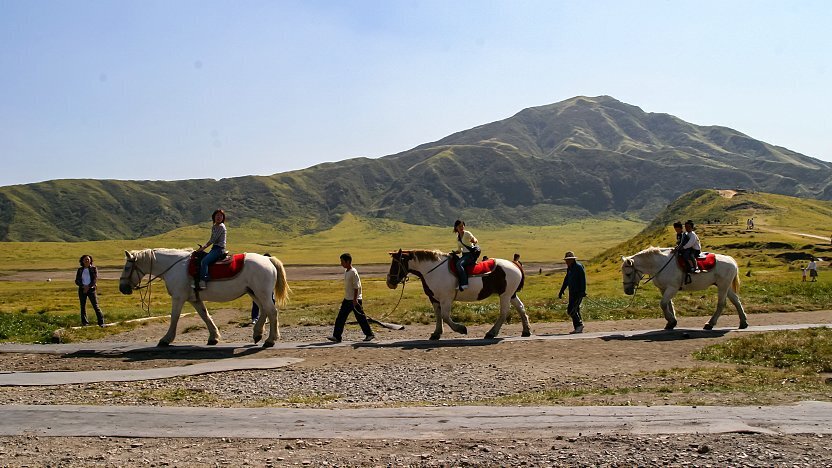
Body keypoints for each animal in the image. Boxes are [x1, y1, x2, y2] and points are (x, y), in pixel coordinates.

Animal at [118, 250, 290, 346]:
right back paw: (258, 334)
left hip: (262, 293)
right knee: (264, 310)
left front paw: (165, 339)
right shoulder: (194, 299)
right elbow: (205, 315)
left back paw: (270, 340)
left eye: (126, 267)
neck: (174, 267)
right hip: (254, 292)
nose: (122, 288)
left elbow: (174, 317)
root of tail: (267, 259)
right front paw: (214, 337)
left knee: (271, 312)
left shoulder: (179, 297)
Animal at [386, 249, 528, 340]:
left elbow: (445, 316)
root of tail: (514, 264)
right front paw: (436, 334)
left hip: (505, 295)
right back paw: (526, 331)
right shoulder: (434, 299)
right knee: (521, 308)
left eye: (396, 263)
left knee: (504, 313)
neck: (433, 270)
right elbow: (438, 316)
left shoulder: (446, 299)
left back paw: (491, 333)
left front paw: (461, 329)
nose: (390, 282)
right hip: (511, 295)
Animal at [620, 247, 752, 330]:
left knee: (721, 304)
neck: (659, 264)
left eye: (628, 273)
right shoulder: (664, 289)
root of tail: (731, 260)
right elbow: (668, 304)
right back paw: (743, 322)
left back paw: (710, 324)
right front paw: (671, 323)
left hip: (723, 286)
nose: (627, 291)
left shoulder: (672, 288)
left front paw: (671, 321)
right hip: (725, 286)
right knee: (736, 301)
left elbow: (663, 304)